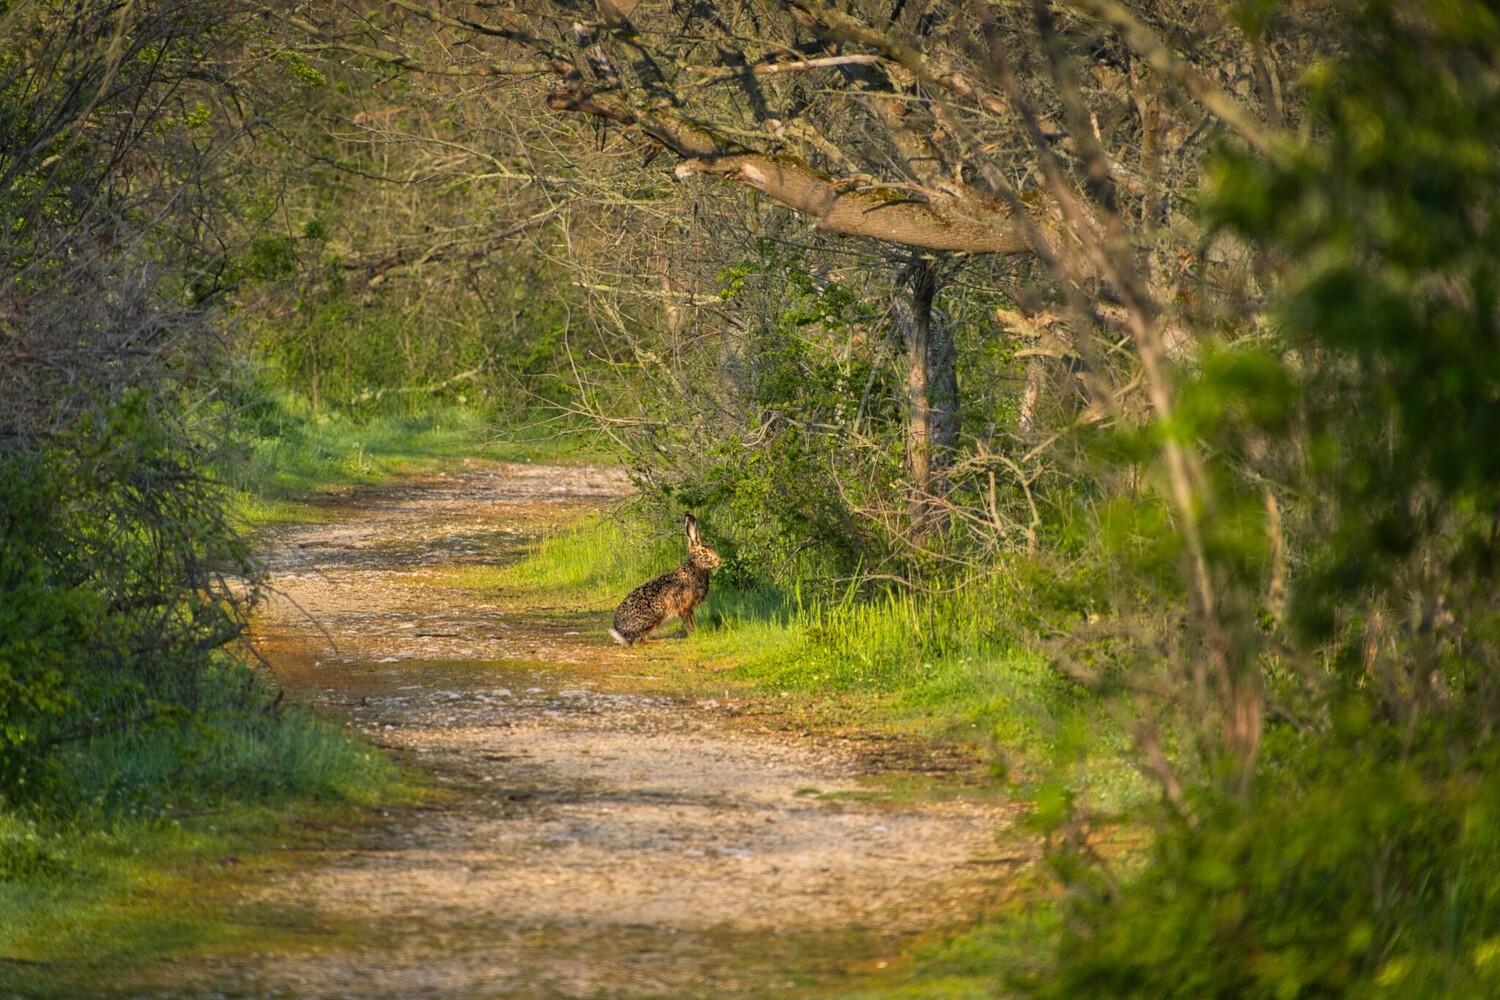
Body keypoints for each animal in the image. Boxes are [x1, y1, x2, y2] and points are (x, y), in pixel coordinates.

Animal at [610, 513, 722, 646]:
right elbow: (689, 624)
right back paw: (664, 640)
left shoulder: (690, 609)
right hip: (654, 616)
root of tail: (621, 634)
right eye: (704, 551)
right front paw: (695, 635)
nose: (719, 560)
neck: (694, 568)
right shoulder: (685, 608)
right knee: (642, 639)